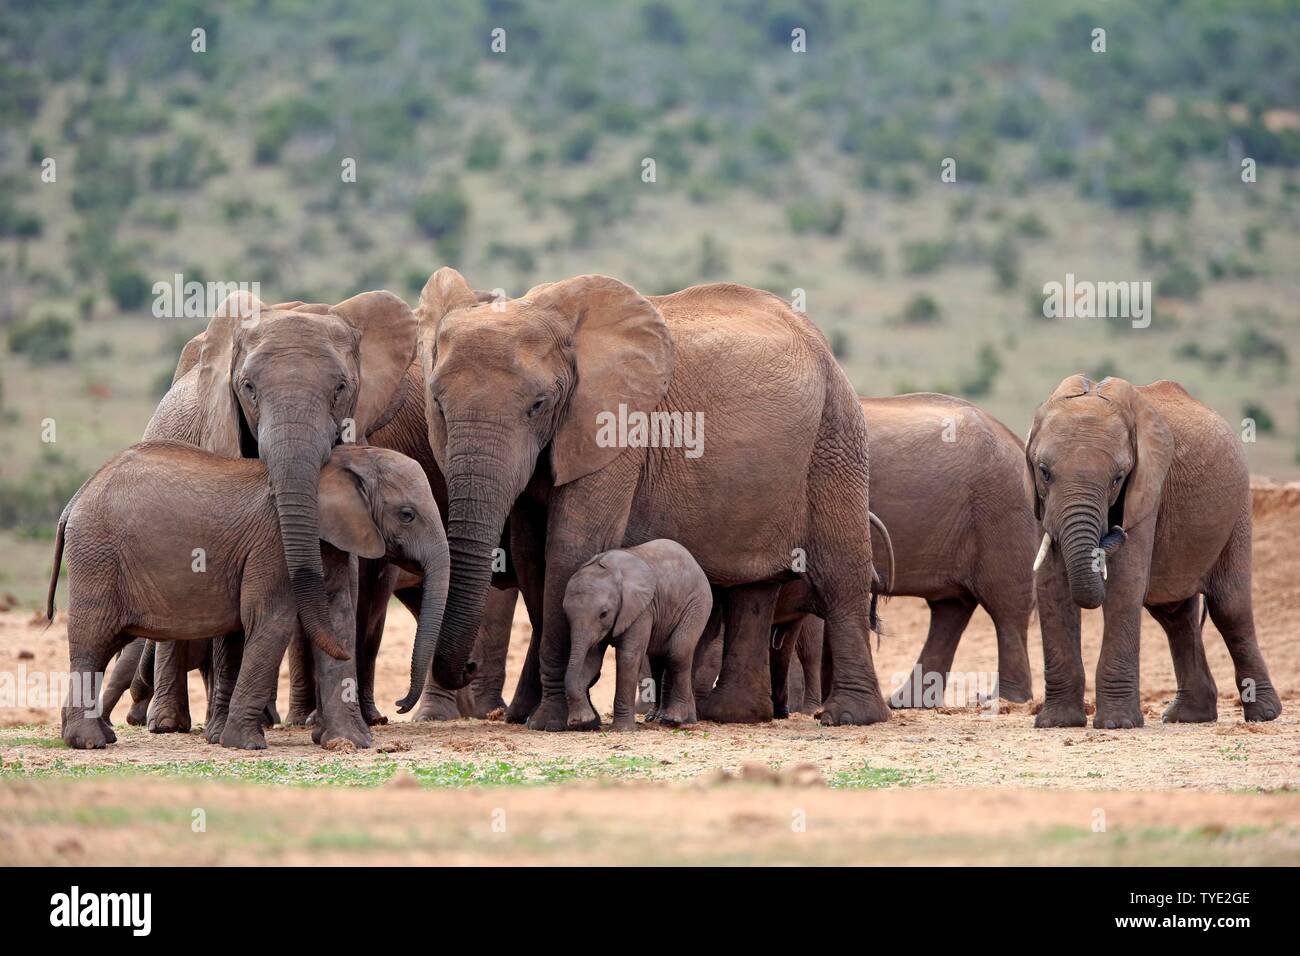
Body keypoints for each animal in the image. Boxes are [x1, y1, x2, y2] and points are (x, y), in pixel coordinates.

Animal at [50, 439, 449, 749]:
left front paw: (351, 743)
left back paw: (93, 736)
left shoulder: (331, 541)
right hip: (97, 558)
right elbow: (272, 620)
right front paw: (245, 744)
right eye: (407, 514)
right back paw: (90, 742)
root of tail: (73, 501)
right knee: (92, 643)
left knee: (106, 645)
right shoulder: (273, 546)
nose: (398, 706)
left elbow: (337, 618)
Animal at [137, 291, 413, 733]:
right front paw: (222, 730)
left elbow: (343, 575)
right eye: (248, 388)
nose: (401, 706)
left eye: (341, 388)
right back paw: (167, 723)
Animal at [566, 538, 717, 733]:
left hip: (697, 604)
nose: (575, 722)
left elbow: (628, 657)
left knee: (677, 654)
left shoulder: (642, 609)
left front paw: (622, 730)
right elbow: (591, 661)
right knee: (658, 660)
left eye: (604, 614)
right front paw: (582, 720)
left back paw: (676, 719)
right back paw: (671, 719)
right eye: (566, 615)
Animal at [1029, 377, 1284, 728]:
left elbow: (1124, 585)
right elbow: (1050, 585)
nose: (1114, 530)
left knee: (1229, 607)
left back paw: (1264, 715)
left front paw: (1117, 724)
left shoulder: (1147, 490)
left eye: (1118, 478)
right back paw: (1189, 717)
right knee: (1175, 615)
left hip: (1239, 511)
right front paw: (1057, 723)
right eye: (1044, 472)